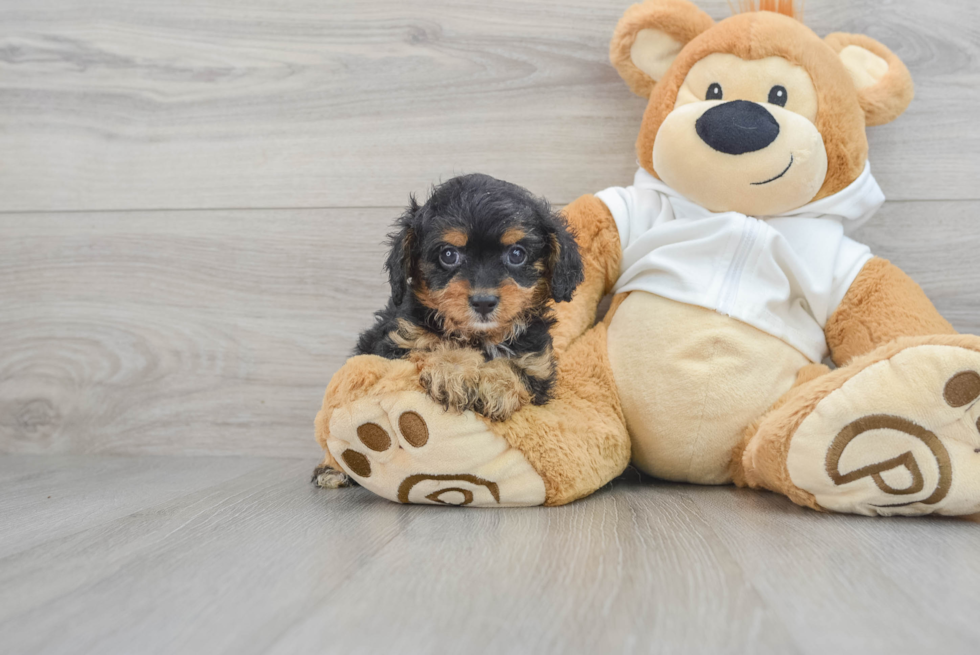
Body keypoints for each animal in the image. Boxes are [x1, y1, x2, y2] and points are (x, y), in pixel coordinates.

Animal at [358, 173, 580, 420]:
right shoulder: (397, 344)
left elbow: (517, 369)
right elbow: (429, 348)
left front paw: (497, 386)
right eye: (448, 255)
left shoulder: (538, 367)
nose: (483, 302)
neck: (481, 337)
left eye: (516, 254)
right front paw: (453, 370)